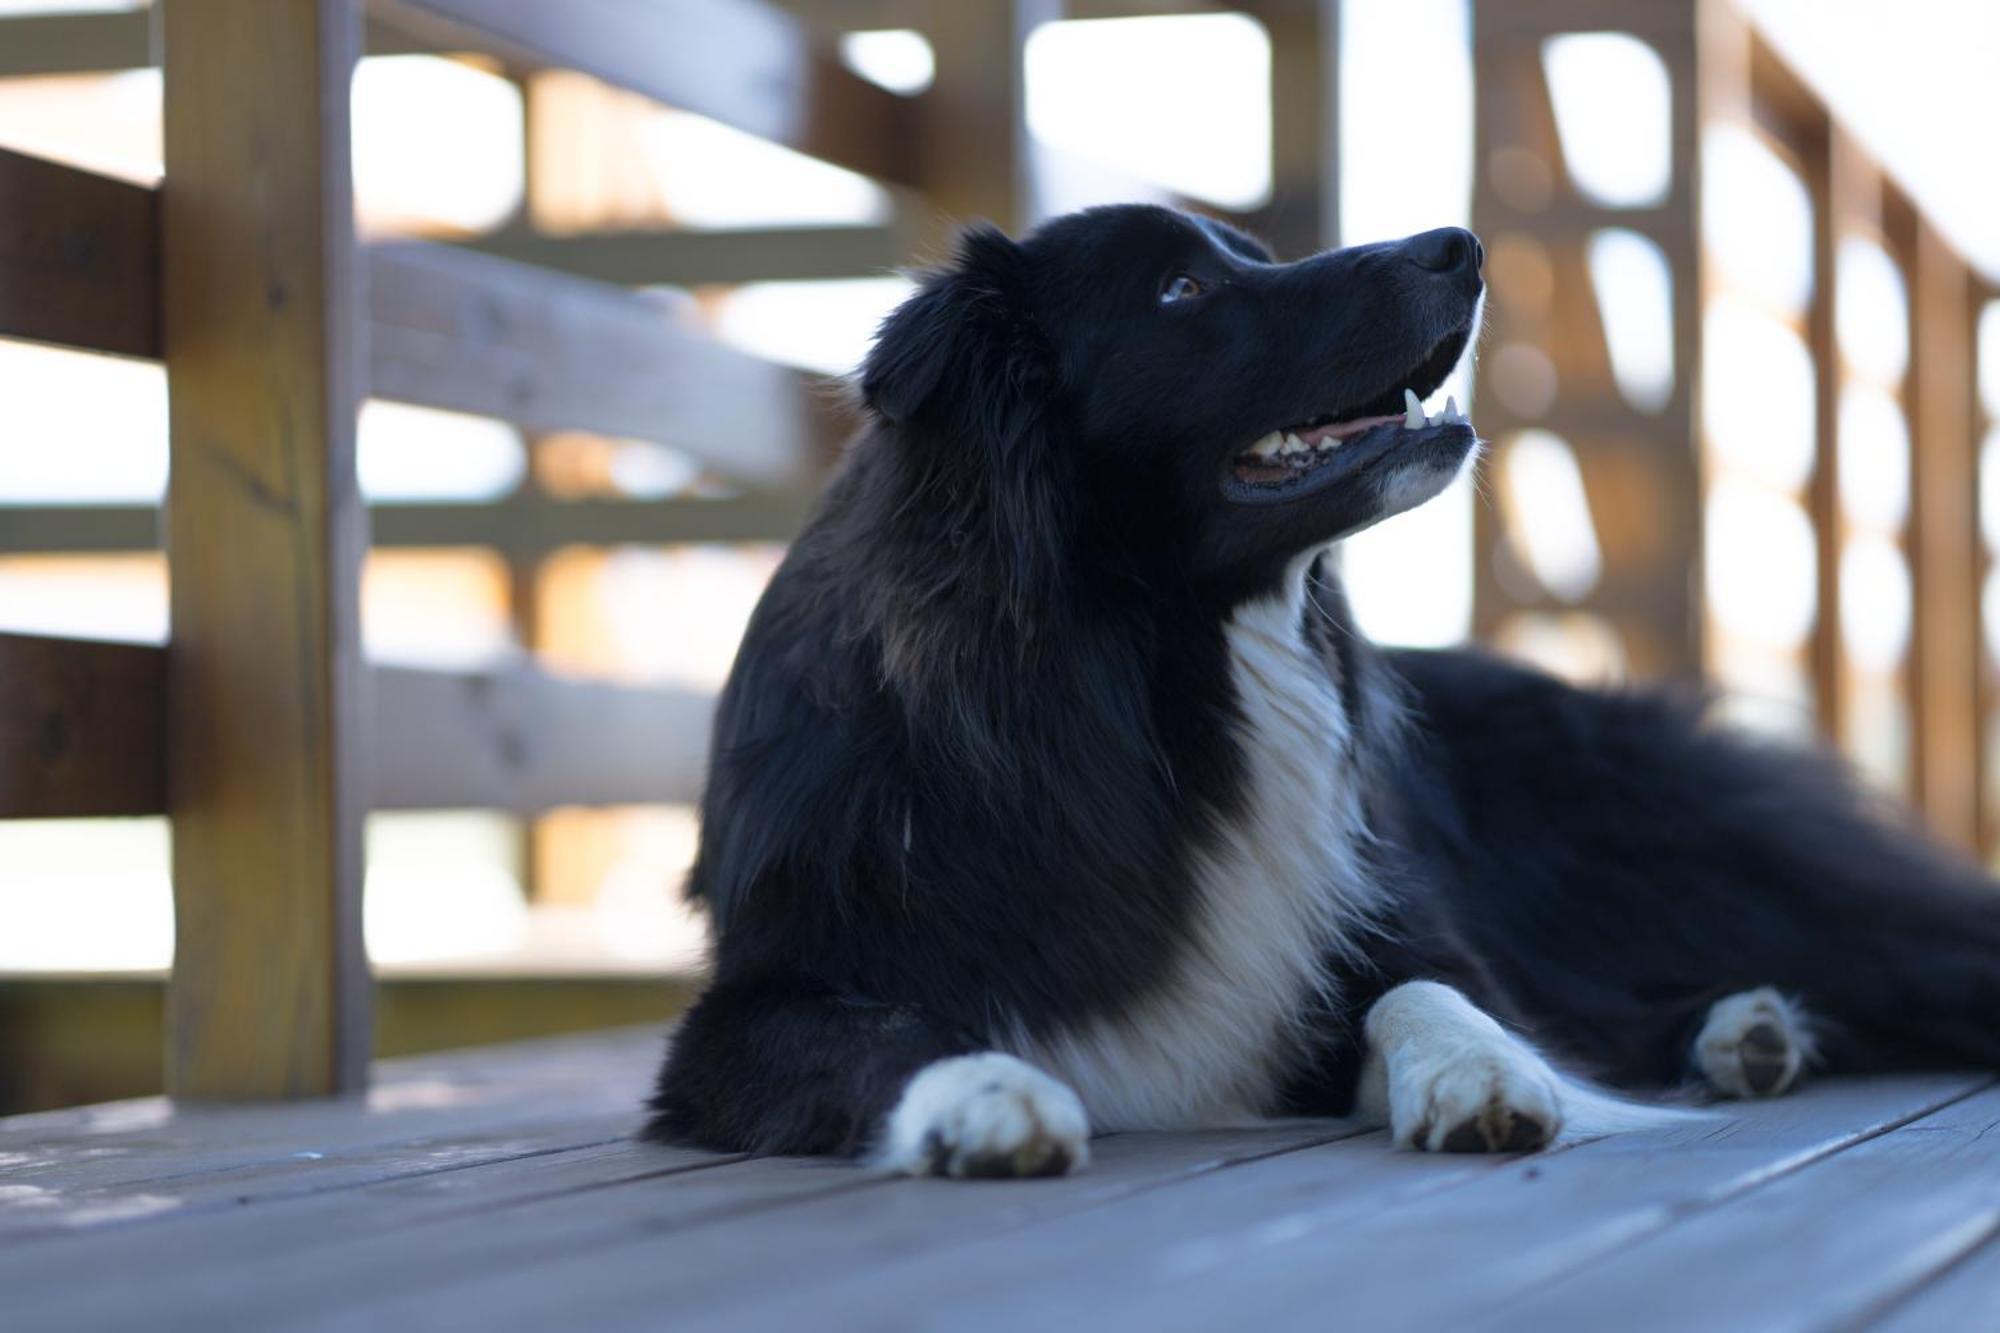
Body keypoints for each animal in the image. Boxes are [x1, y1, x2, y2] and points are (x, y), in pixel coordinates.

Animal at [640, 205, 2000, 1176]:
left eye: (1252, 255)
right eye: (1184, 291)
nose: (1460, 247)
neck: (1162, 674)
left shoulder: (1386, 913)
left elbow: (1438, 988)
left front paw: (1477, 1075)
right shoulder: (754, 1004)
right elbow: (882, 1030)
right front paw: (984, 1092)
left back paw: (1747, 1027)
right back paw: (1747, 1034)